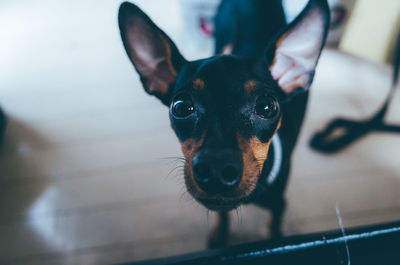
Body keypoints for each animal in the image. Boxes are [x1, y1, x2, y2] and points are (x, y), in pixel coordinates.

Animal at [117, 0, 330, 245]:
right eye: (180, 107)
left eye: (267, 106)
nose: (216, 169)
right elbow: (222, 213)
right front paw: (220, 233)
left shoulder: (279, 205)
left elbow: (274, 227)